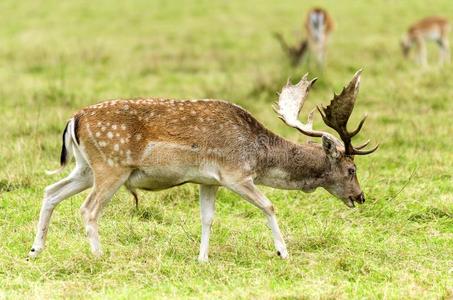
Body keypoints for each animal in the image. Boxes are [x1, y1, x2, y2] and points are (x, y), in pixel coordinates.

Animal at [29, 69, 378, 262]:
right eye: (352, 170)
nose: (360, 197)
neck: (259, 156)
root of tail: (74, 119)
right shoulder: (236, 174)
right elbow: (269, 205)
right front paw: (283, 253)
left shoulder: (208, 181)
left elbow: (207, 219)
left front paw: (202, 259)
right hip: (111, 167)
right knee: (88, 209)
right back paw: (100, 256)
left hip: (85, 168)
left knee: (50, 191)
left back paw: (35, 250)